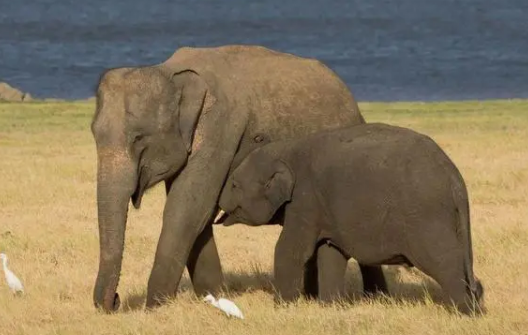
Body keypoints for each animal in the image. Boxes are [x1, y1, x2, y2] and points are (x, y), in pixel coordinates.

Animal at [91, 43, 386, 314]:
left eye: (139, 138)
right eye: (94, 133)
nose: (115, 301)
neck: (170, 71)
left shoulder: (220, 128)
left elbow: (187, 210)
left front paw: (155, 307)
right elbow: (200, 215)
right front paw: (214, 298)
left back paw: (375, 298)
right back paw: (313, 296)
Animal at [218, 122, 482, 316]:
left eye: (234, 184)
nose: (219, 203)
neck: (285, 149)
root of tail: (454, 177)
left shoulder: (304, 201)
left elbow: (291, 250)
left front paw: (281, 308)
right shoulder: (324, 209)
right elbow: (330, 252)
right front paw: (331, 307)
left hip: (425, 216)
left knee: (442, 259)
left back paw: (464, 313)